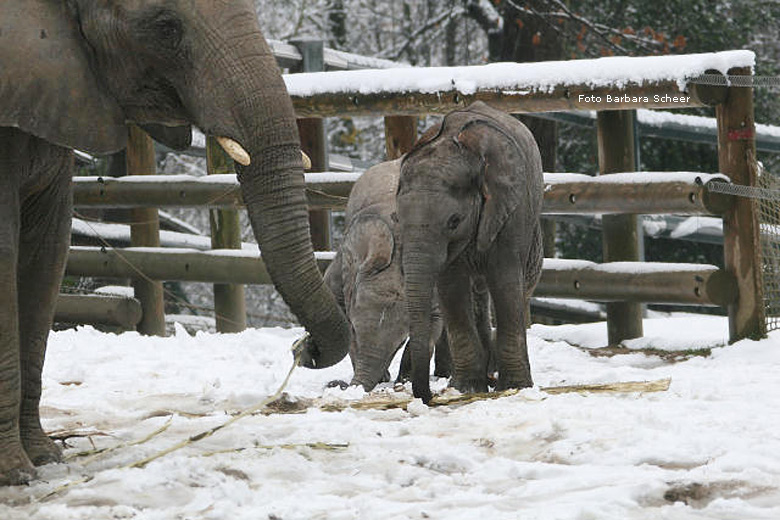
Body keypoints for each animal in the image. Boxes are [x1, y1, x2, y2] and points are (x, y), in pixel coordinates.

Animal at [396, 100, 544, 402]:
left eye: (454, 221)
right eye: (397, 219)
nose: (428, 396)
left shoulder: (509, 208)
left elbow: (505, 280)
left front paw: (515, 387)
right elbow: (451, 288)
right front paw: (465, 388)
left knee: (518, 288)